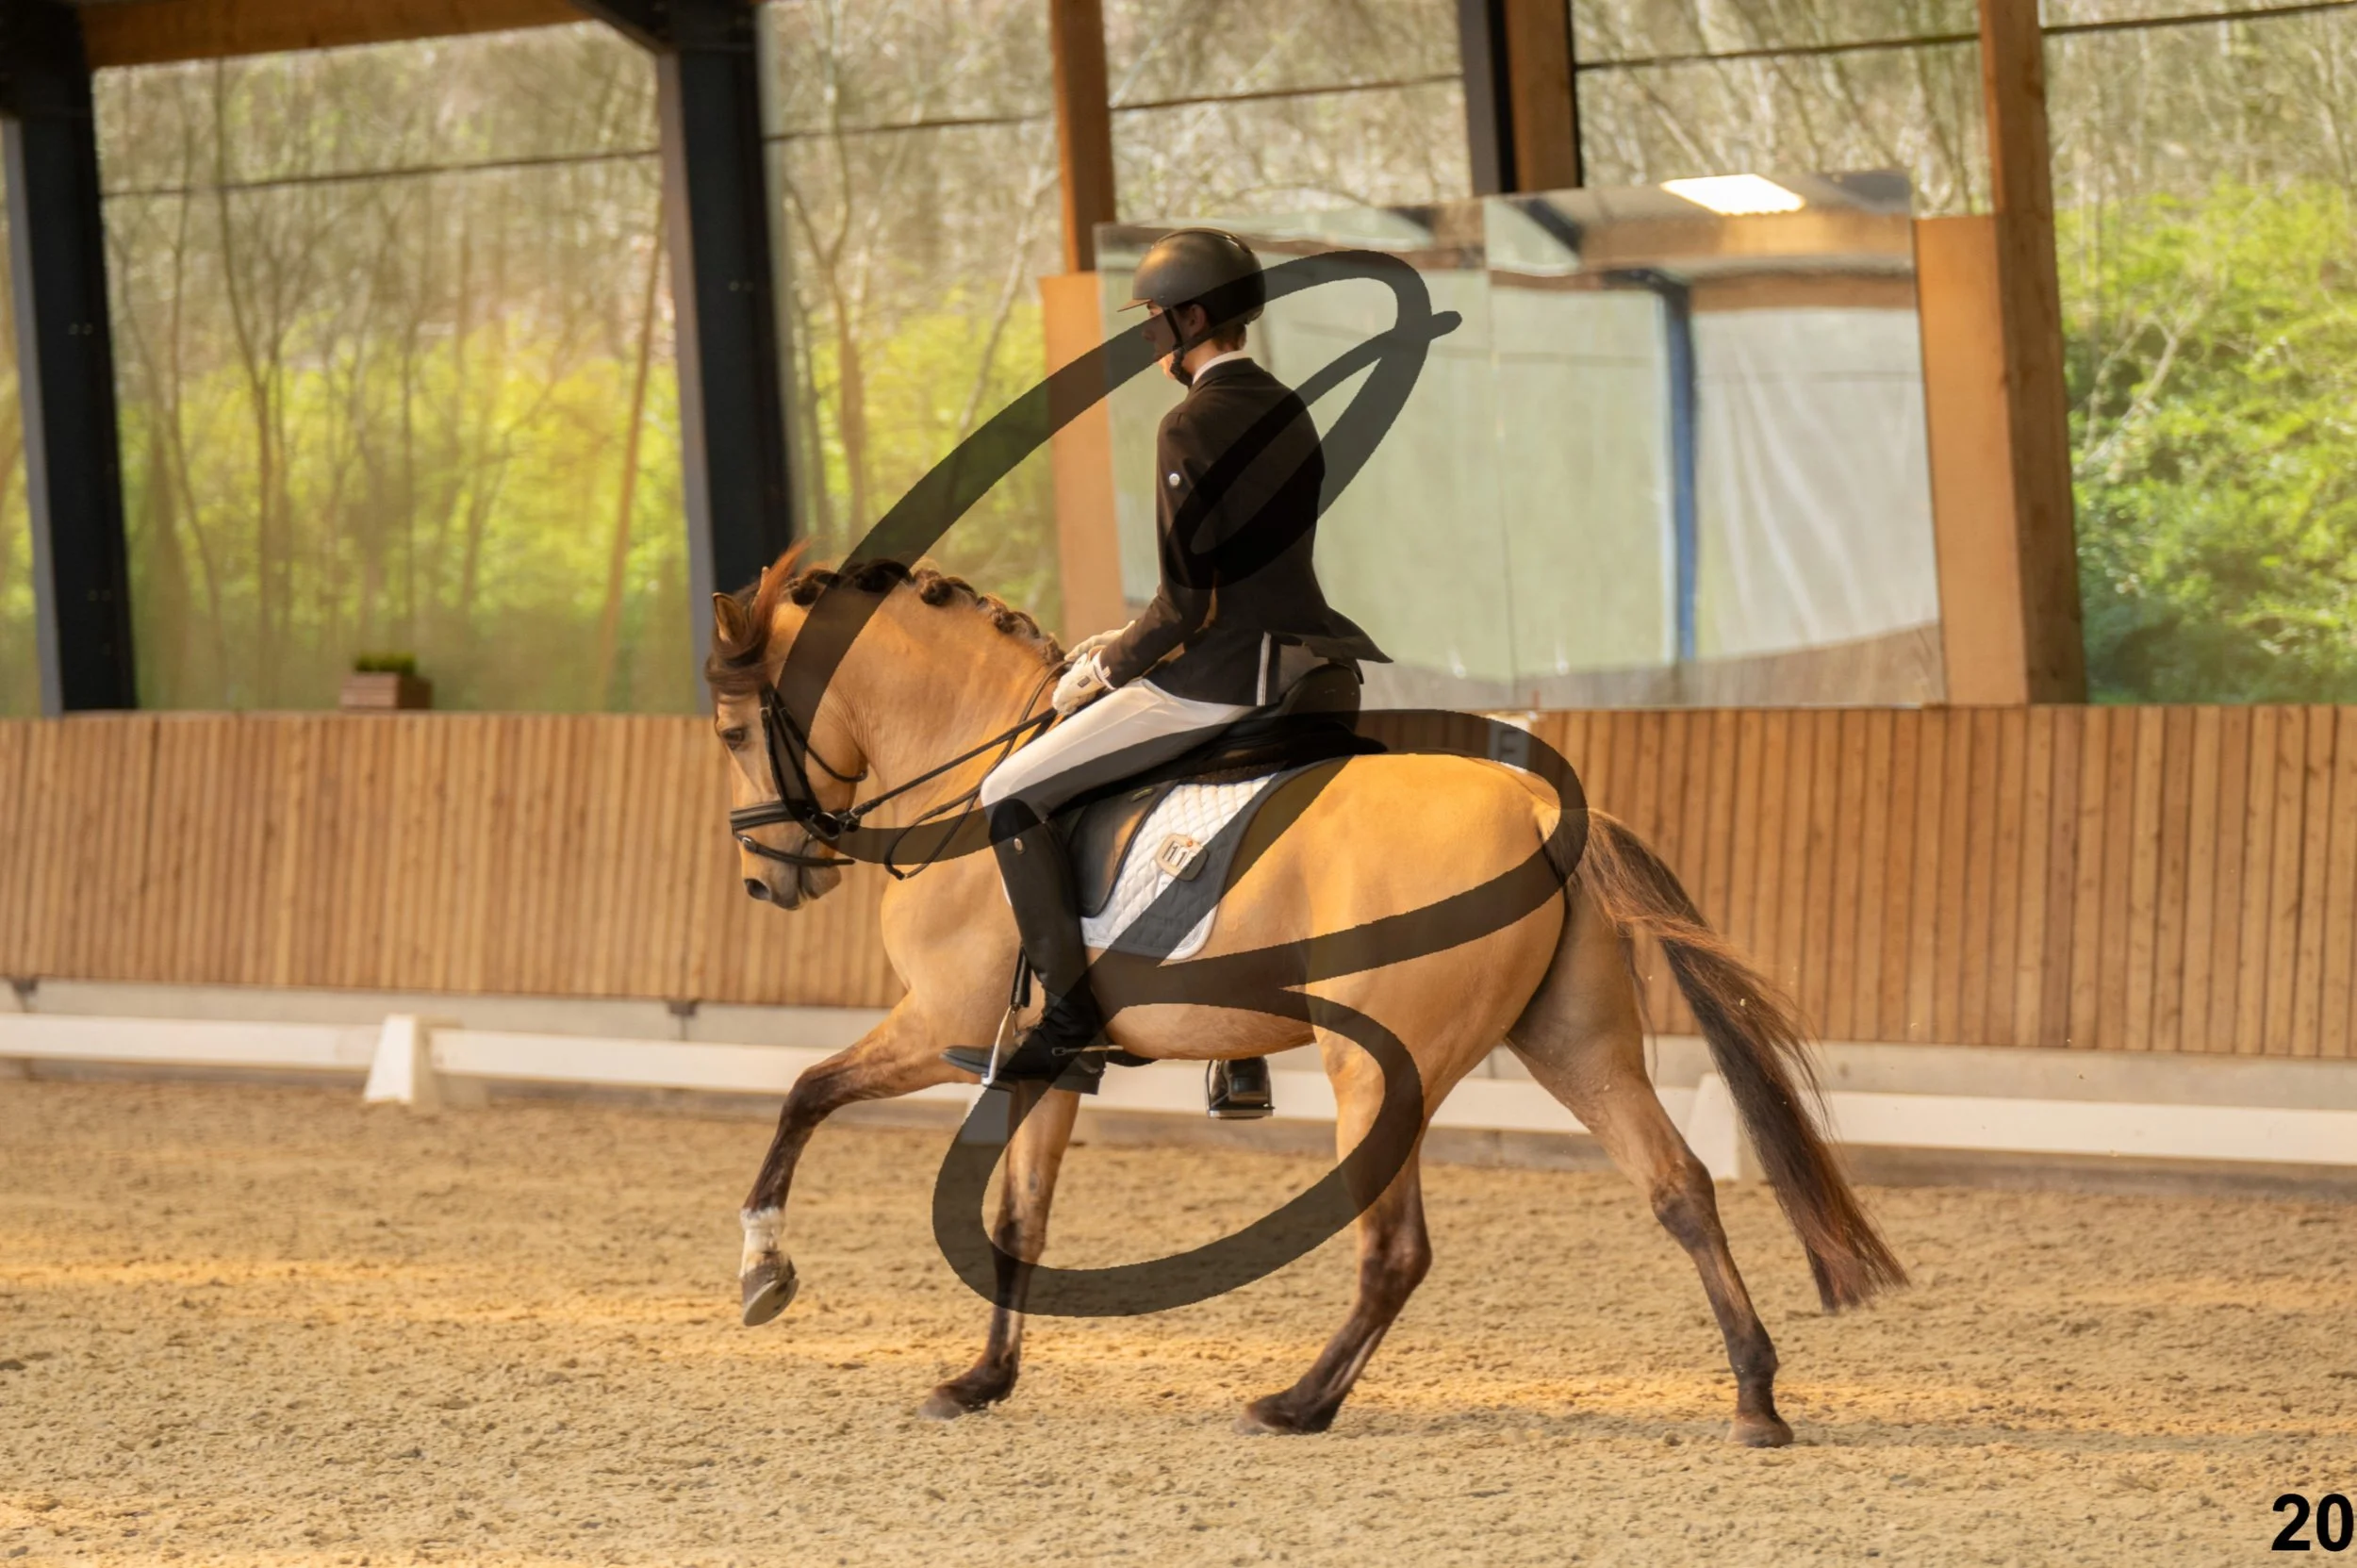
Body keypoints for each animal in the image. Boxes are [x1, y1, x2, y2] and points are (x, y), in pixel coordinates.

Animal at [707, 553, 1904, 1445]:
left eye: (727, 731)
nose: (768, 880)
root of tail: (1533, 805)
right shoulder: (1049, 1058)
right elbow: (1017, 1218)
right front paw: (982, 1378)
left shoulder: (945, 1028)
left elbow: (806, 1093)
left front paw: (764, 1269)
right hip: (1577, 1044)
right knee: (1678, 1188)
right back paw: (1754, 1396)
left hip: (1375, 1068)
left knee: (1396, 1250)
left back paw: (1298, 1402)